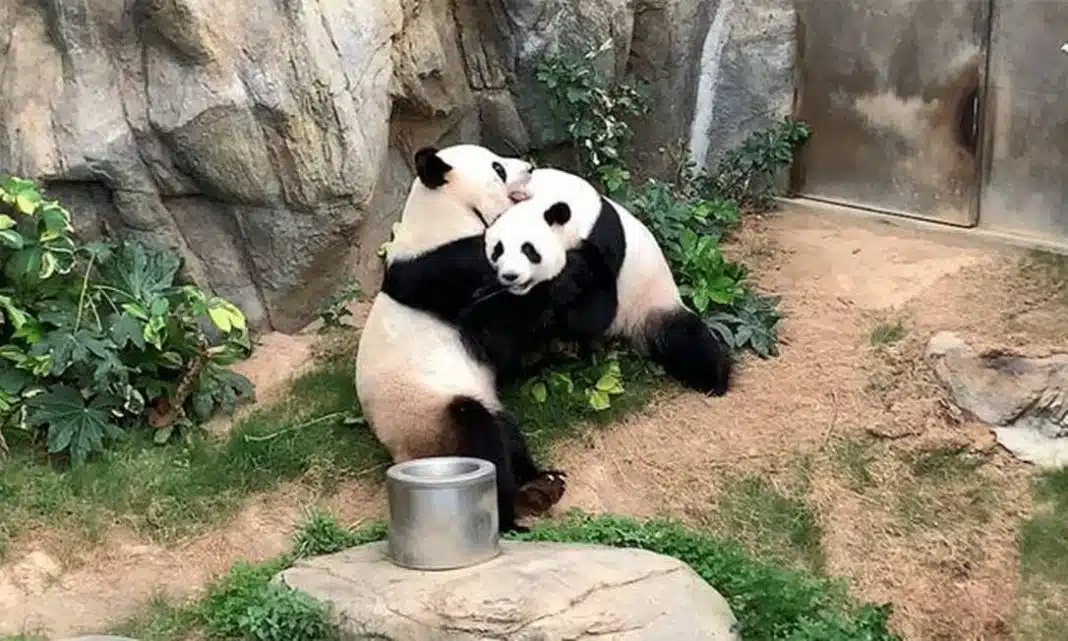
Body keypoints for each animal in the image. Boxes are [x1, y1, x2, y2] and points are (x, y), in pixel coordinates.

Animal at [355, 144, 568, 533]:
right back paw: (509, 513)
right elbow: (492, 327)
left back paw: (541, 485)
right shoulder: (445, 271)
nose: (530, 167)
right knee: (479, 435)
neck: (445, 214)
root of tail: (400, 455)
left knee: (506, 432)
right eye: (498, 168)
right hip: (428, 416)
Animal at [481, 167, 733, 396]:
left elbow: (595, 311)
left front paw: (563, 290)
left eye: (529, 250)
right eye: (498, 250)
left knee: (686, 339)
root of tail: (627, 332)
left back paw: (715, 380)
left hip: (652, 303)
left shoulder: (603, 241)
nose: (510, 276)